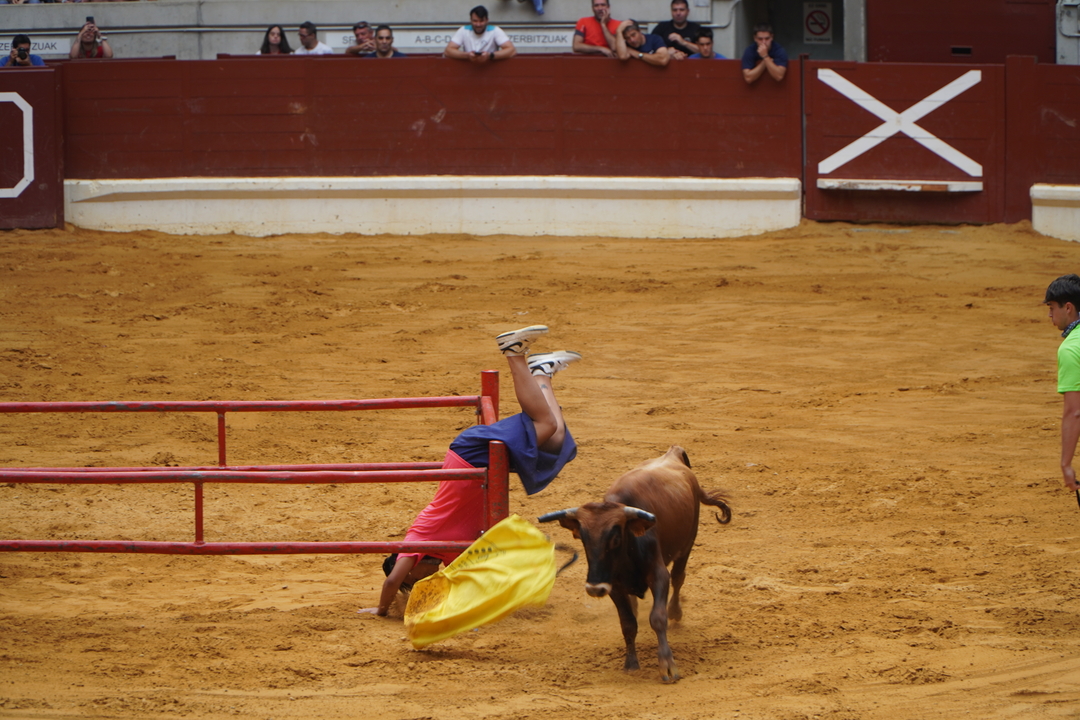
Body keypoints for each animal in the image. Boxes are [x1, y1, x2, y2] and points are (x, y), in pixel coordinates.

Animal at [538, 445, 731, 683]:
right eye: (582, 538)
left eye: (615, 538)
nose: (594, 588)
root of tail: (674, 454)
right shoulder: (613, 586)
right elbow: (628, 624)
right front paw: (631, 663)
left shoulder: (658, 576)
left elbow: (658, 617)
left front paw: (667, 665)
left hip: (687, 545)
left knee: (678, 578)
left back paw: (675, 611)